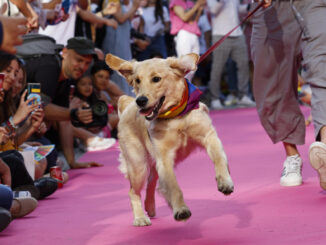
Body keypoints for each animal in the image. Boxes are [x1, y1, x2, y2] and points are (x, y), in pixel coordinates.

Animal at [105, 53, 233, 226]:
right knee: (133, 191)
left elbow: (219, 159)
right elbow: (173, 186)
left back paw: (150, 206)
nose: (141, 100)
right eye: (137, 80)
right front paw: (180, 209)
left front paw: (225, 181)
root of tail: (128, 104)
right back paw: (140, 217)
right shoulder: (164, 157)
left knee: (152, 182)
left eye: (156, 79)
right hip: (138, 165)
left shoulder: (209, 136)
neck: (176, 116)